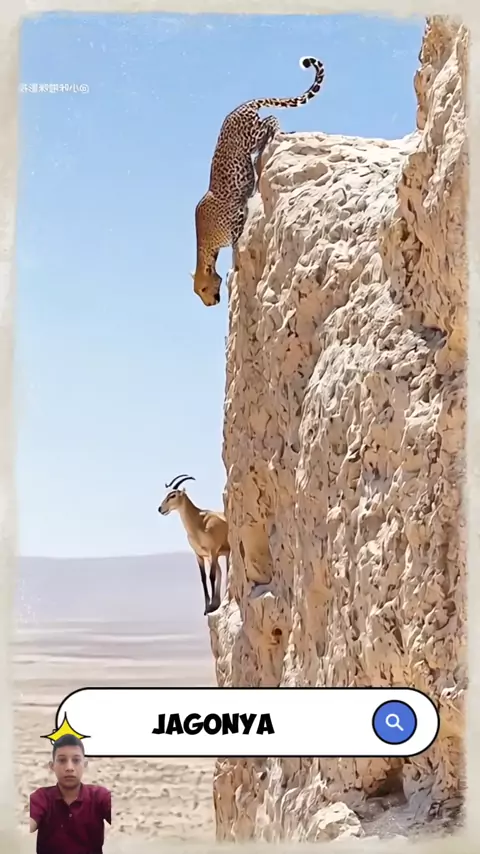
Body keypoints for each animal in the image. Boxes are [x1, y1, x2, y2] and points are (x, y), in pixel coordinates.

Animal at [191, 56, 325, 307]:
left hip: (249, 137)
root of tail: (243, 105)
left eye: (203, 289)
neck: (206, 245)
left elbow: (236, 241)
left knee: (271, 120)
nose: (209, 303)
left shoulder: (236, 218)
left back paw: (278, 133)